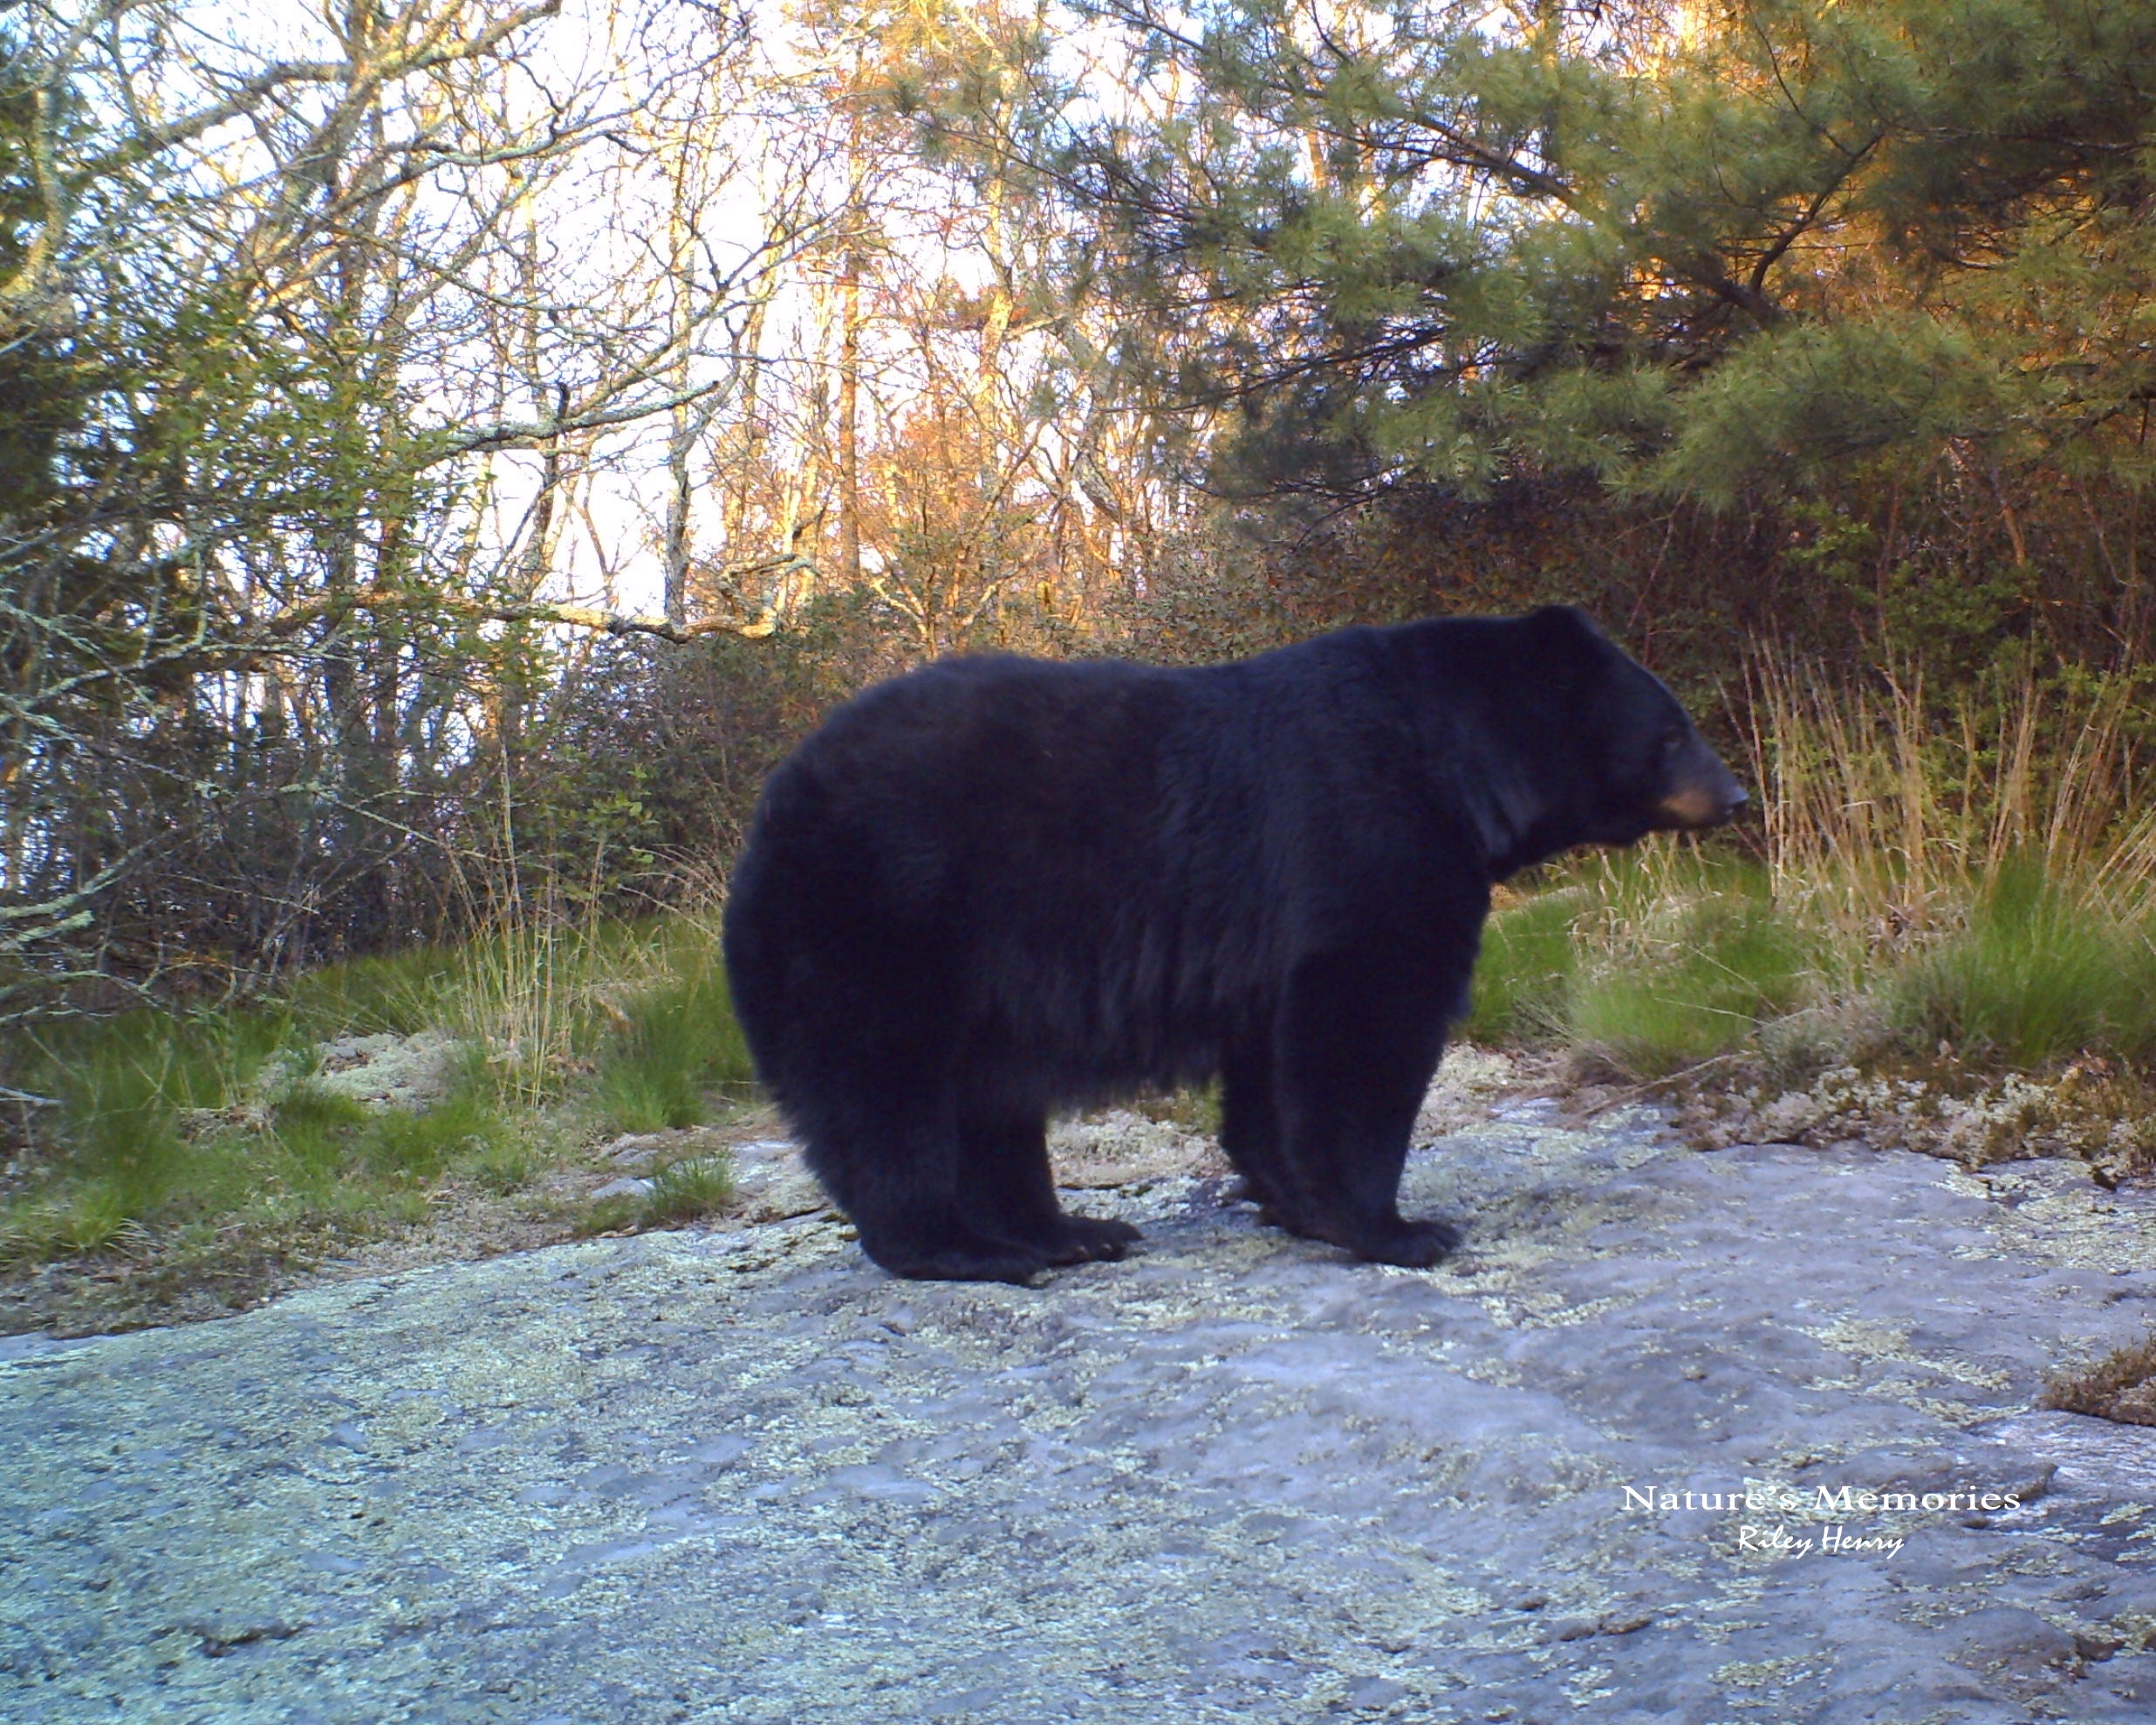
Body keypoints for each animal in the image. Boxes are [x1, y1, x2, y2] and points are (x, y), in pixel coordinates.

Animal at [729, 607, 1750, 1276]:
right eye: (1671, 732)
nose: (1737, 794)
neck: (1452, 760)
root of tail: (768, 811)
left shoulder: (1271, 940)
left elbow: (1273, 1061)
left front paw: (1294, 1204)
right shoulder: (1360, 833)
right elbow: (1365, 1020)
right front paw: (1398, 1228)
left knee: (992, 1106)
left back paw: (1072, 1231)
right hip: (883, 918)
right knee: (887, 1093)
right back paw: (965, 1248)